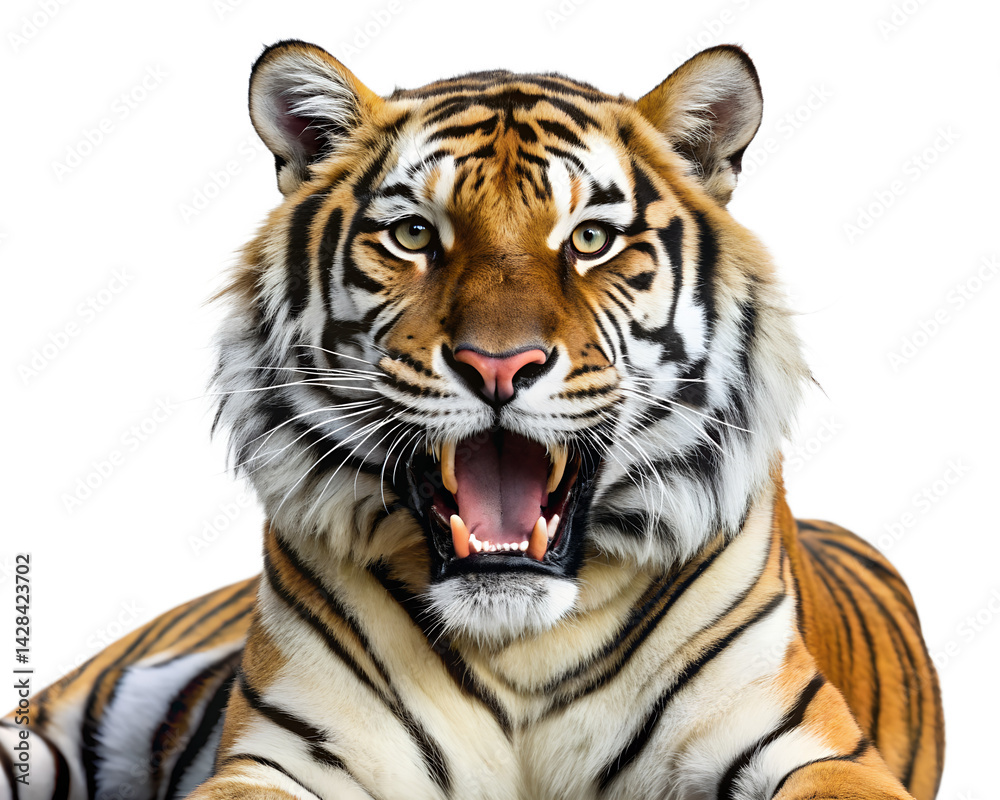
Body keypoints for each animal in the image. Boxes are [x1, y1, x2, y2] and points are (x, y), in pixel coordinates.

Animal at [1, 40, 944, 800]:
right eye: (415, 235)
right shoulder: (289, 755)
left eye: (590, 240)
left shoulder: (805, 746)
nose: (498, 365)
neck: (519, 644)